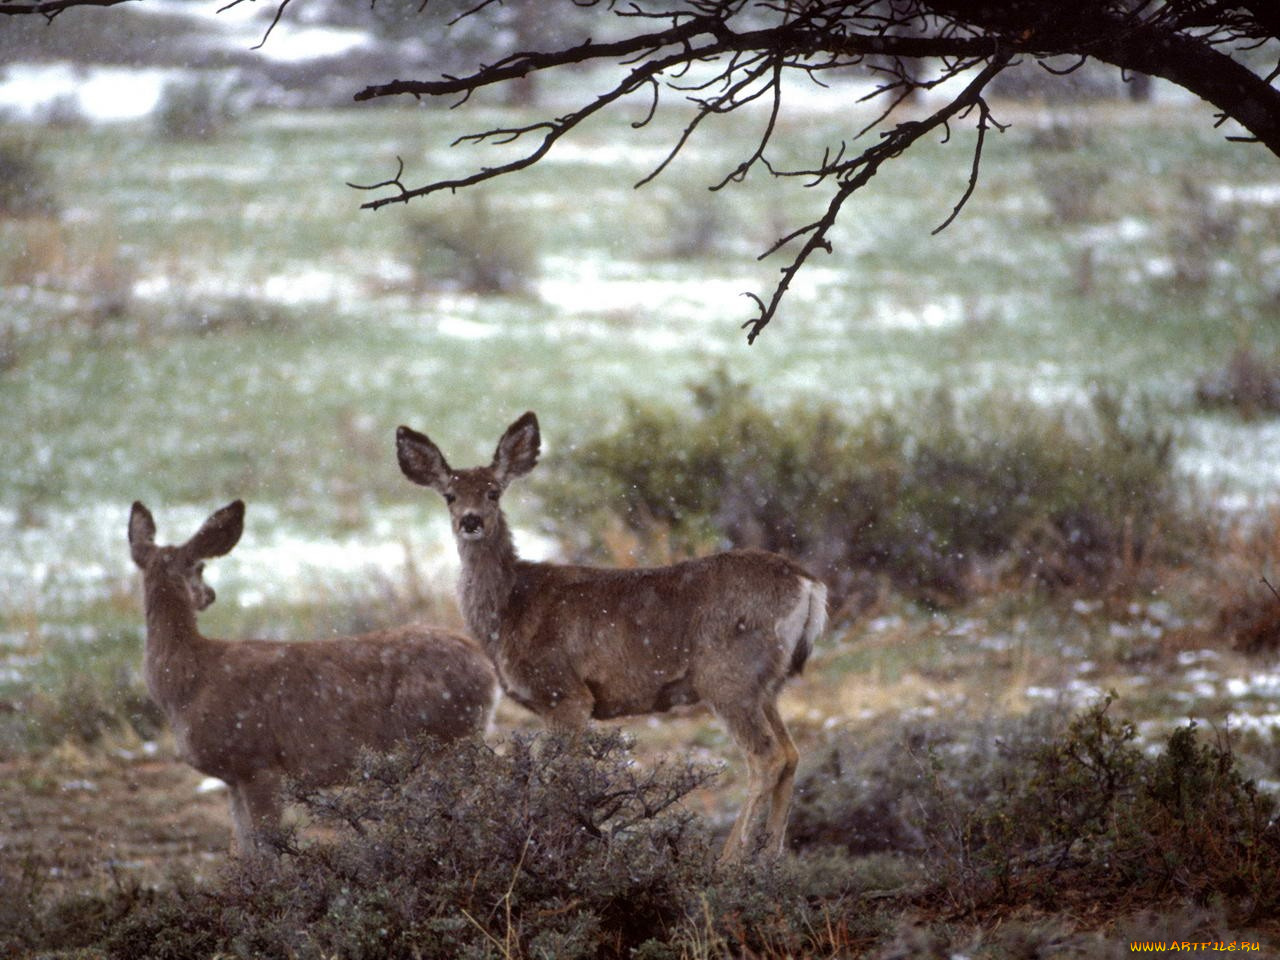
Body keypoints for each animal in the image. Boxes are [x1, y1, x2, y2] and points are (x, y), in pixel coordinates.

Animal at [129, 499, 496, 855]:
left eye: (201, 566)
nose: (210, 595)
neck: (189, 679)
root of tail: (487, 669)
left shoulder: (258, 762)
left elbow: (268, 854)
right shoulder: (234, 777)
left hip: (443, 738)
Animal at [394, 414, 824, 865]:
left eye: (493, 491)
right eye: (449, 495)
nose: (471, 520)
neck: (511, 609)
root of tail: (808, 583)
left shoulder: (564, 692)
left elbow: (561, 780)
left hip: (729, 676)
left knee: (766, 757)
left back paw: (729, 861)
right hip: (767, 685)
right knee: (791, 753)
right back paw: (771, 858)